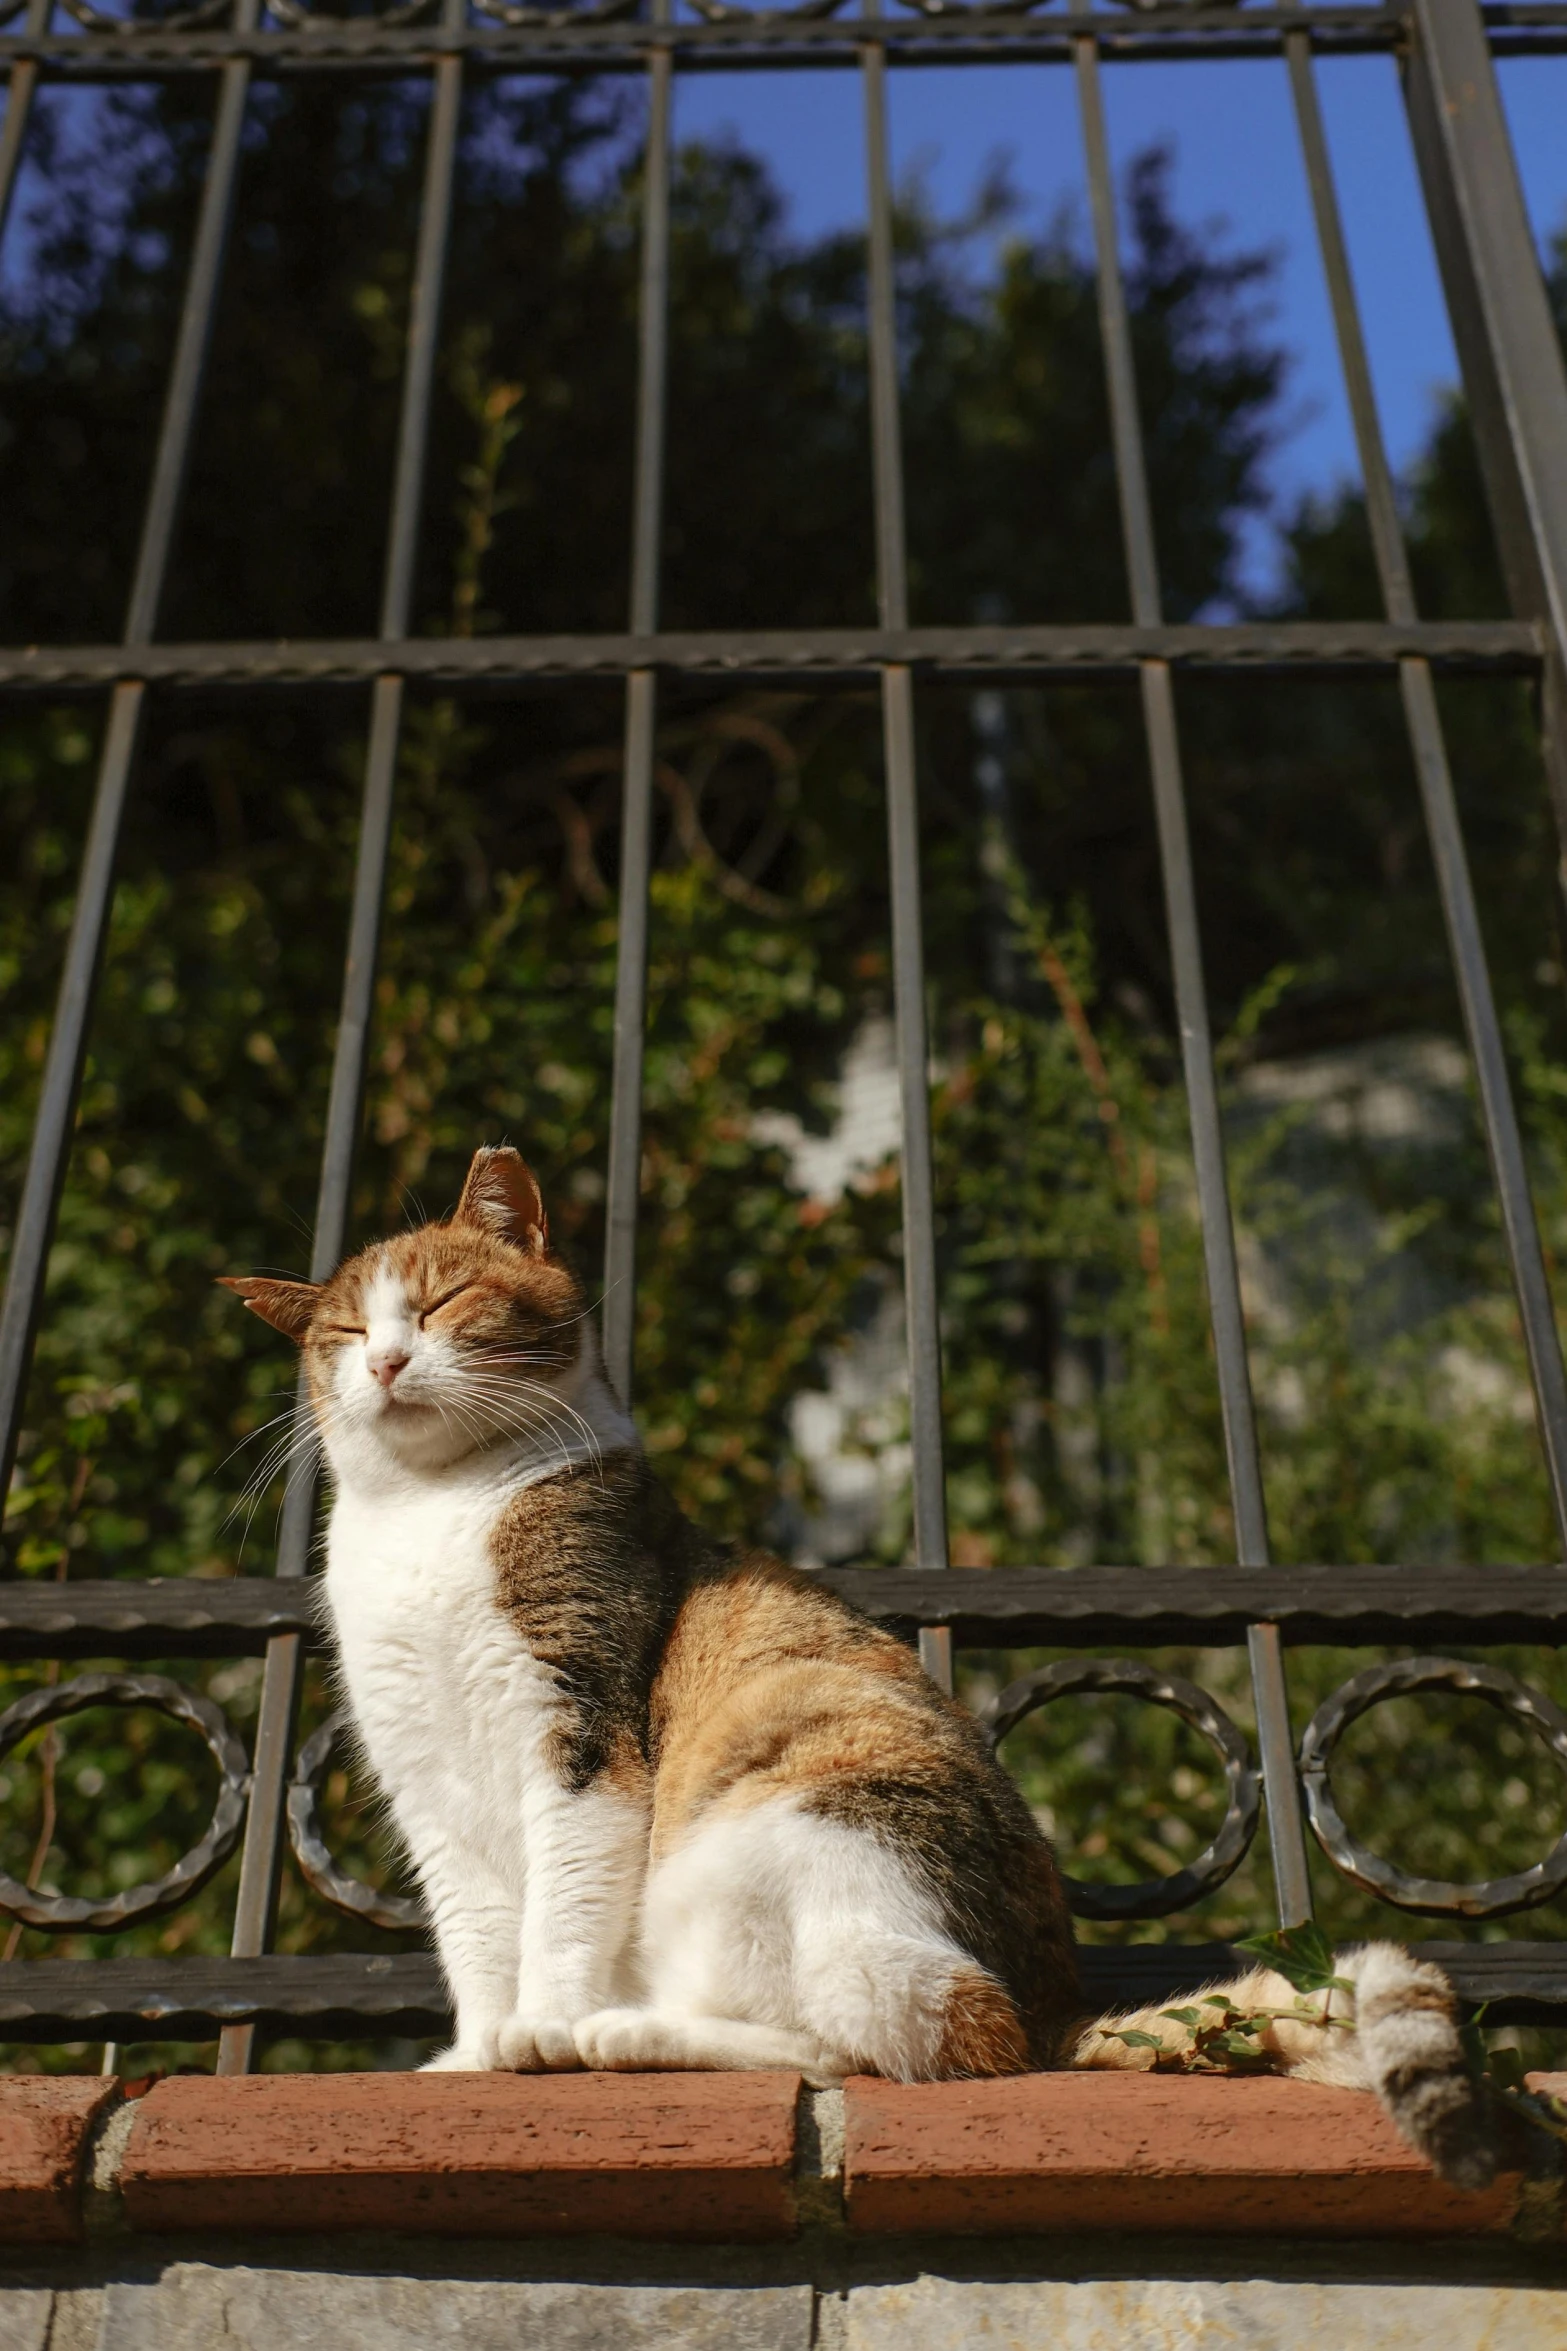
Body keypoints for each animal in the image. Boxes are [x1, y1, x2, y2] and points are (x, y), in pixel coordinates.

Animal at [226, 1147, 1503, 2191]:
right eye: (343, 1337)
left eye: (443, 1299)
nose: (389, 1359)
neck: (431, 1515)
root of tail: (1056, 2009)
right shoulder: (428, 1781)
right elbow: (476, 1932)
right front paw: (472, 2058)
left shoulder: (579, 1722)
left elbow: (561, 1903)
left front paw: (536, 2028)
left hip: (780, 1824)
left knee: (902, 2040)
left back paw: (613, 2034)